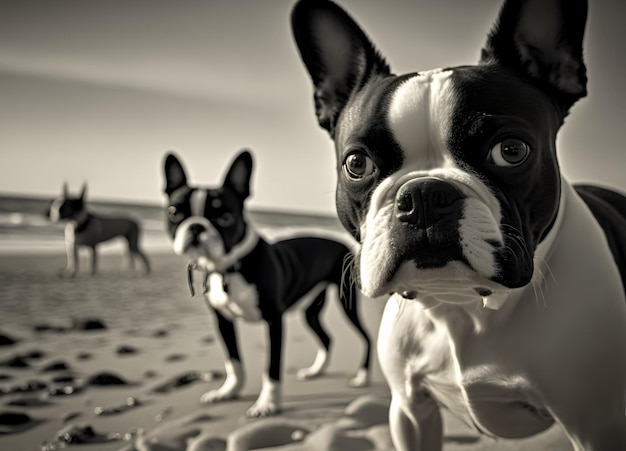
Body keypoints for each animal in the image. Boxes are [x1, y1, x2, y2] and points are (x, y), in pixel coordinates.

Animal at [161, 150, 370, 418]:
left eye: (226, 217)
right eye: (174, 212)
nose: (196, 226)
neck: (231, 267)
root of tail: (342, 243)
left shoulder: (274, 321)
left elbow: (271, 368)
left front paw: (267, 404)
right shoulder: (222, 321)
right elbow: (234, 362)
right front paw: (228, 392)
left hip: (347, 303)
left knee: (366, 337)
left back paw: (362, 376)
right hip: (311, 311)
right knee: (326, 338)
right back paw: (315, 371)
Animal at [290, 0, 624, 450]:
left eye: (511, 150)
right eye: (357, 163)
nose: (423, 196)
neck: (461, 306)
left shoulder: (595, 426)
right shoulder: (410, 412)